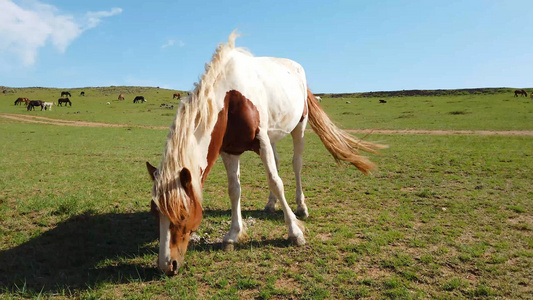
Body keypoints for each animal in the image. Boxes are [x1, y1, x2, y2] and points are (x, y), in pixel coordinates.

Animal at [144, 31, 386, 276]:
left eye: (182, 215)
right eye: (155, 213)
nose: (167, 265)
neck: (230, 98)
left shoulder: (261, 141)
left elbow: (276, 181)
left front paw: (295, 232)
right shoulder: (229, 151)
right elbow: (234, 190)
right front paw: (232, 235)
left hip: (299, 127)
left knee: (296, 165)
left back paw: (301, 207)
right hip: (273, 137)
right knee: (277, 163)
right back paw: (271, 205)